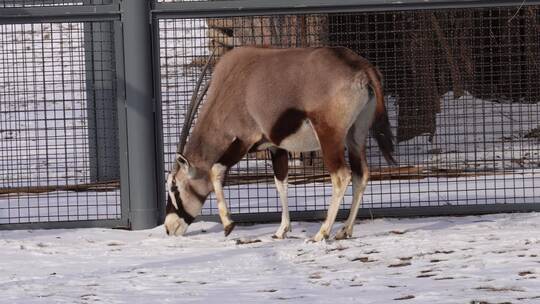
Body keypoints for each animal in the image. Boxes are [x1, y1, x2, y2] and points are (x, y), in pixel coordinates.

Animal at [165, 45, 396, 240]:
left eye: (174, 187)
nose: (168, 228)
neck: (231, 85)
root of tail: (361, 67)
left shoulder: (245, 139)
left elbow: (215, 169)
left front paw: (228, 225)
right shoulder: (276, 147)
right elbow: (280, 182)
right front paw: (281, 230)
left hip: (330, 136)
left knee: (341, 176)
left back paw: (321, 233)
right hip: (356, 136)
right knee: (361, 174)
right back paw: (345, 230)